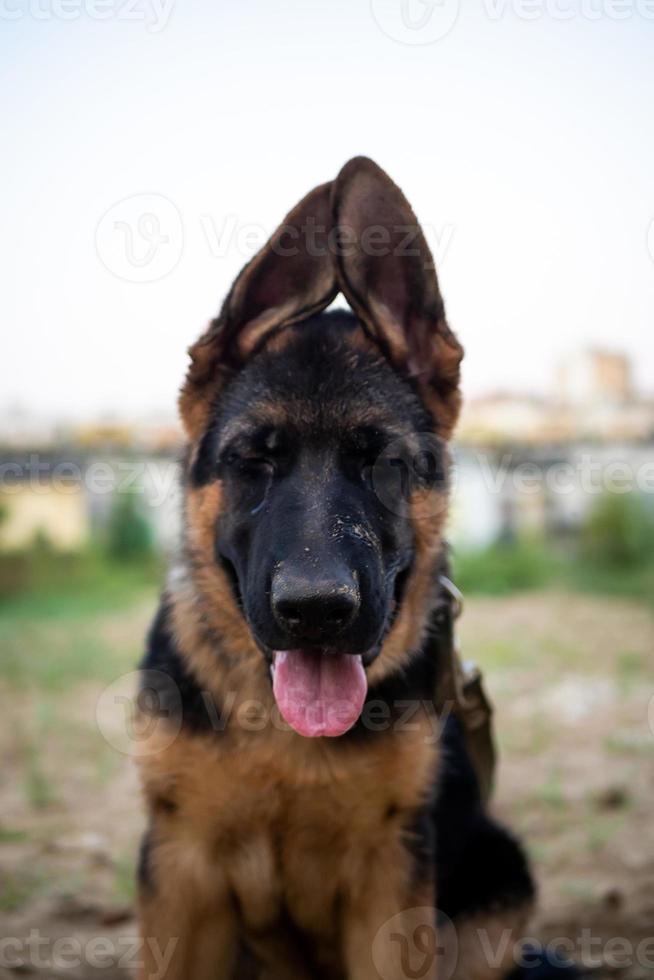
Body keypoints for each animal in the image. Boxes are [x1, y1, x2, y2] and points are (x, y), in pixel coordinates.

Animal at [135, 159, 580, 980]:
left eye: (384, 464)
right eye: (253, 462)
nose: (316, 610)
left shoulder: (391, 878)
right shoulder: (181, 871)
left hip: (499, 870)